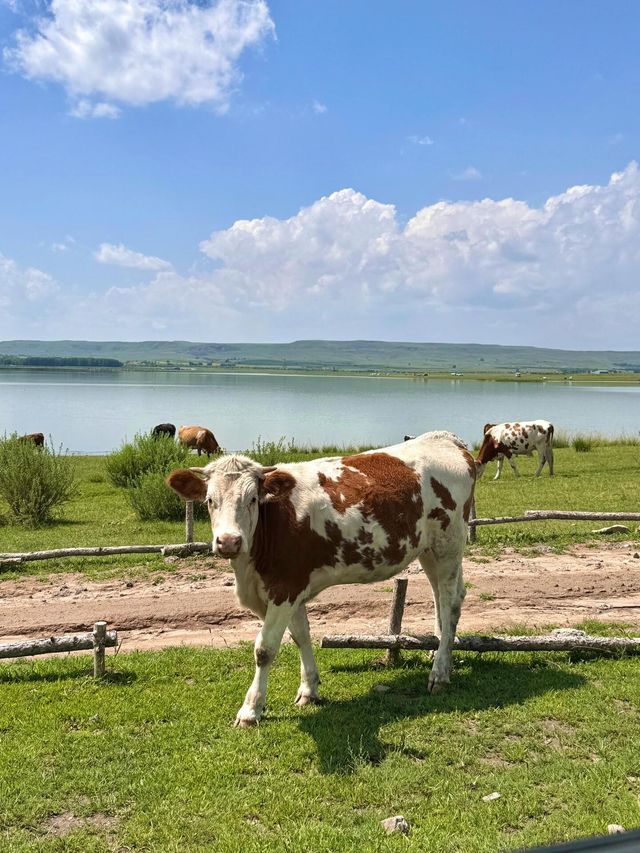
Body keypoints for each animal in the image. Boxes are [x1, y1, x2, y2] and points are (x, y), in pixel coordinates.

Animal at [168, 432, 478, 724]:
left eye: (252, 499)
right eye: (210, 501)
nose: (229, 541)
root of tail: (445, 438)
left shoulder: (284, 588)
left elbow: (265, 648)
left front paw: (251, 709)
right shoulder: (292, 586)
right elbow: (300, 636)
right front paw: (309, 689)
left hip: (449, 546)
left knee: (449, 602)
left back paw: (439, 672)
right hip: (429, 550)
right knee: (444, 597)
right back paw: (440, 655)